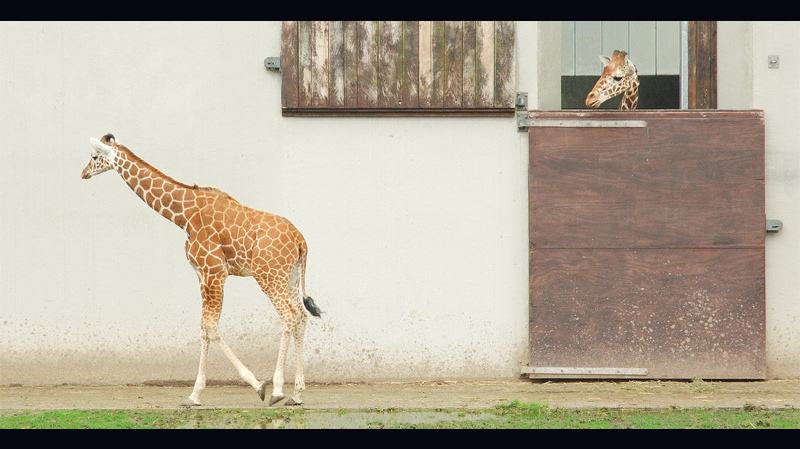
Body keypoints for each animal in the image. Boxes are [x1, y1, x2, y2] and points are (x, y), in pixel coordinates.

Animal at [79, 133, 320, 406]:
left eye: (94, 157)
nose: (84, 173)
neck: (184, 215)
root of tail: (300, 241)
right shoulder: (201, 274)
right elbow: (203, 327)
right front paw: (194, 395)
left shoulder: (213, 271)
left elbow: (211, 326)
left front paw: (258, 385)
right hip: (290, 276)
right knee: (300, 315)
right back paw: (297, 394)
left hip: (269, 275)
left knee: (288, 315)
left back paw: (278, 390)